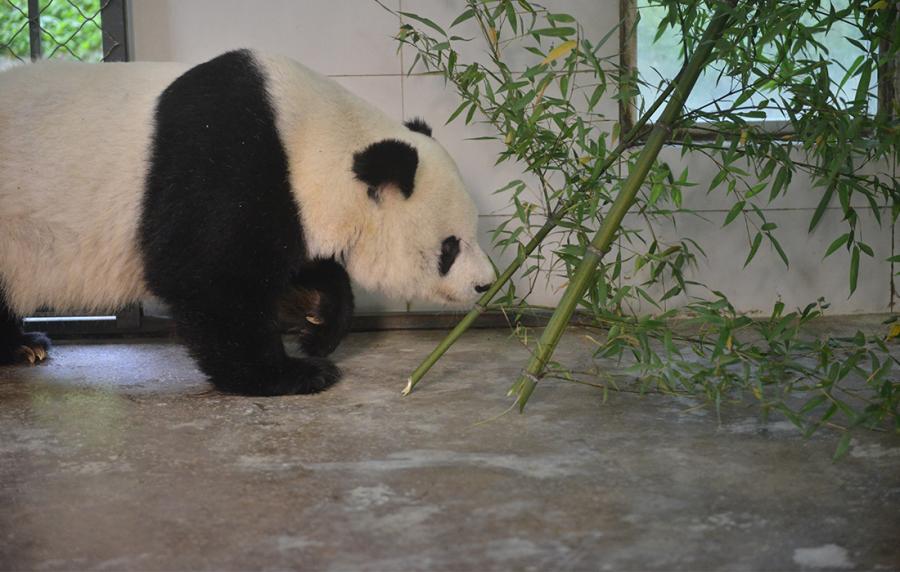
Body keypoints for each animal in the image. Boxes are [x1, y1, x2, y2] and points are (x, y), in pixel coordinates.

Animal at [0, 49, 494, 396]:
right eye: (451, 246)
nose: (485, 284)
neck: (311, 140)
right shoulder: (223, 163)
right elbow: (207, 275)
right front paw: (292, 374)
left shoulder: (287, 203)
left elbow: (296, 266)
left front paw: (317, 324)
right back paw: (22, 345)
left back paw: (24, 346)